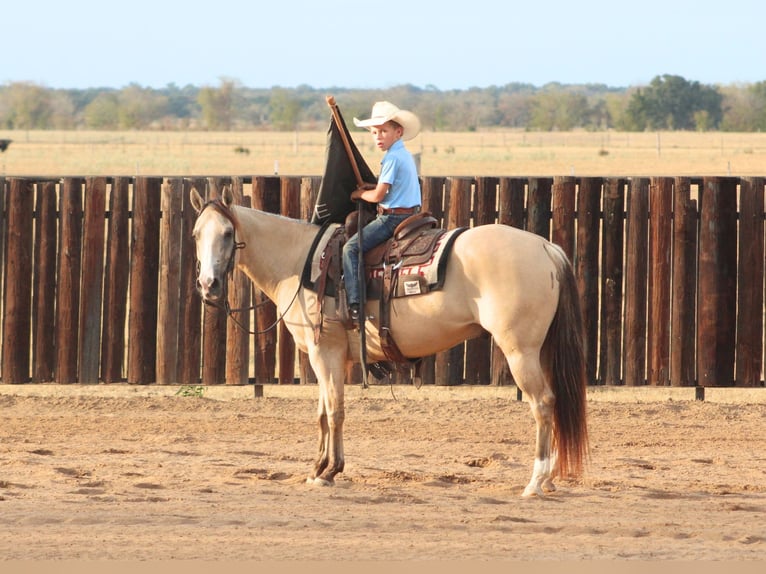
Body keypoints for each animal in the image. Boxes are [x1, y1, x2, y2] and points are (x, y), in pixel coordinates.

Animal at [190, 186, 589, 497]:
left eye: (226, 233)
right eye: (196, 234)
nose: (208, 285)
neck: (301, 263)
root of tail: (546, 247)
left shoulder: (325, 352)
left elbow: (335, 411)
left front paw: (330, 471)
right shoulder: (329, 356)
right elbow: (323, 413)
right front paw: (317, 468)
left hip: (520, 351)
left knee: (542, 404)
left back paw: (535, 481)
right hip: (541, 351)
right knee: (553, 401)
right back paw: (549, 479)